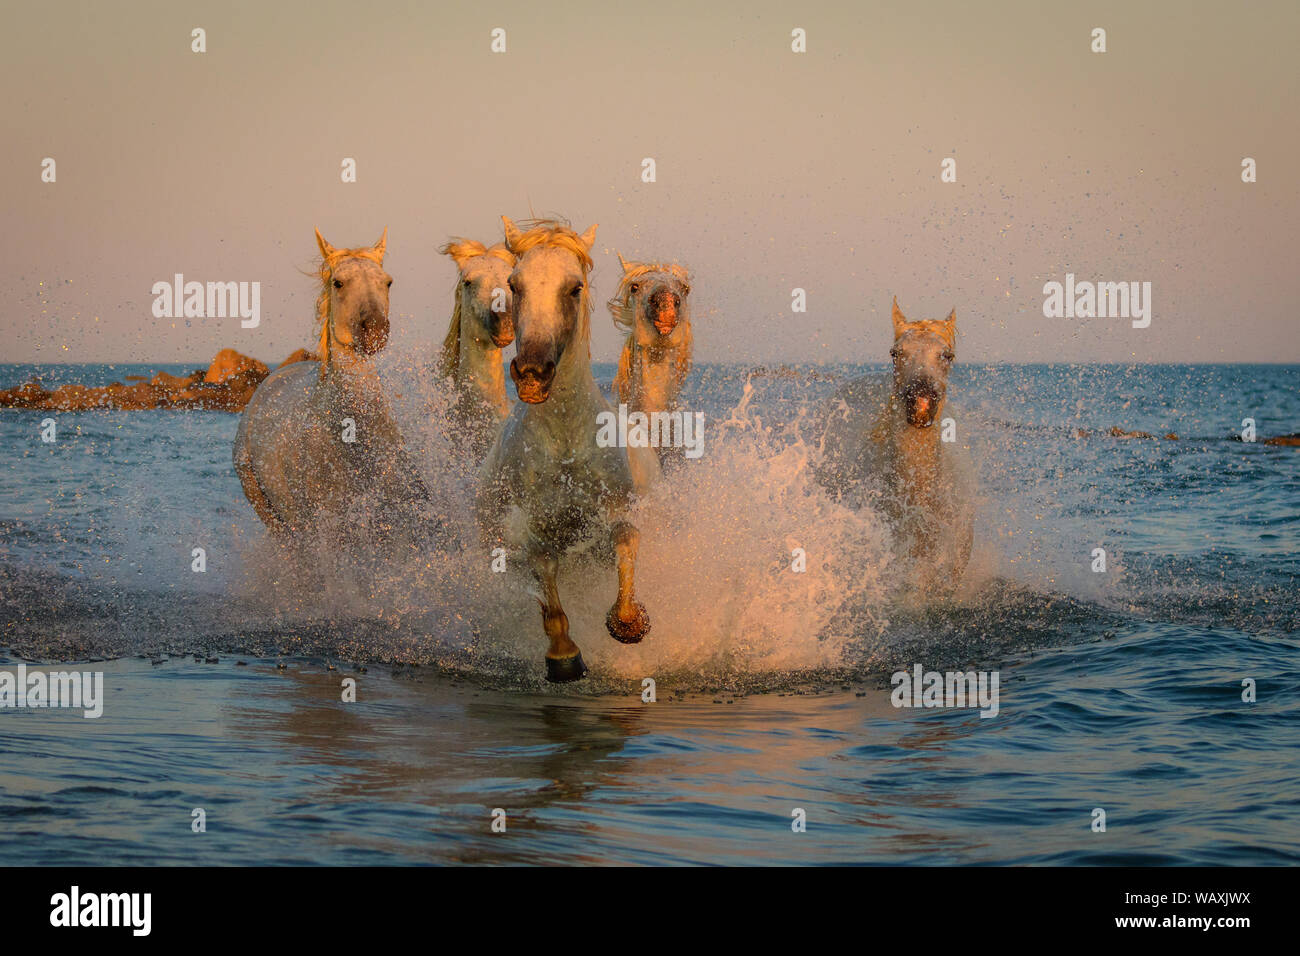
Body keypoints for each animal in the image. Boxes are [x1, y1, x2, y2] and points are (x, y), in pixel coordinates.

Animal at [476, 217, 660, 682]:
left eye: (574, 288)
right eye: (514, 284)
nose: (532, 375)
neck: (565, 444)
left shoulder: (617, 507)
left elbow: (626, 542)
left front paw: (630, 623)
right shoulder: (538, 530)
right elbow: (548, 587)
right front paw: (564, 657)